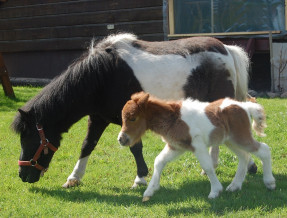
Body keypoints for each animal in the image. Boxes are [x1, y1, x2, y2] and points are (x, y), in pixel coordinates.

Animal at [11, 32, 254, 187]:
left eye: (30, 139)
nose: (23, 175)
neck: (102, 77)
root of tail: (225, 49)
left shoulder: (130, 119)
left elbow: (135, 148)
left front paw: (140, 178)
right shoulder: (97, 118)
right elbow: (87, 145)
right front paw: (74, 177)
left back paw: (248, 165)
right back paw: (211, 166)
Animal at [117, 91, 276, 201]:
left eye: (133, 118)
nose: (121, 139)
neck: (173, 119)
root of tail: (245, 106)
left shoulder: (197, 145)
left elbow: (207, 166)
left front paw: (215, 191)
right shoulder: (176, 147)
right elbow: (159, 161)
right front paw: (150, 191)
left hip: (241, 137)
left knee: (264, 150)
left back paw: (270, 183)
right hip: (230, 140)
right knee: (244, 156)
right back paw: (234, 186)